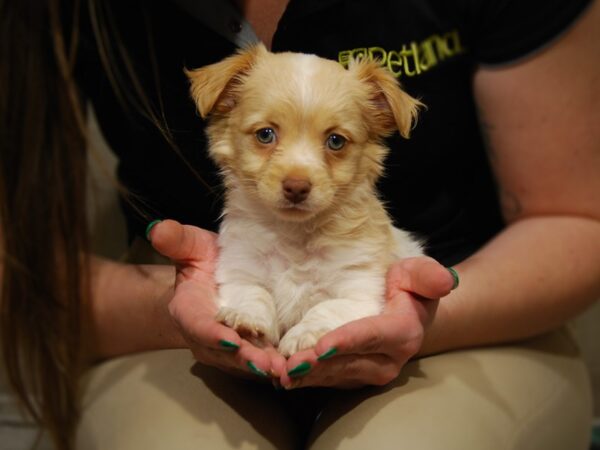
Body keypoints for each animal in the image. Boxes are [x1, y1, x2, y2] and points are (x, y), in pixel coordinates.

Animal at [185, 44, 424, 356]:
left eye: (336, 141)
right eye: (265, 134)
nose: (297, 187)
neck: (293, 236)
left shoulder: (359, 292)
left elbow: (326, 308)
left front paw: (302, 335)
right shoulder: (239, 271)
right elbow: (254, 293)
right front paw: (247, 318)